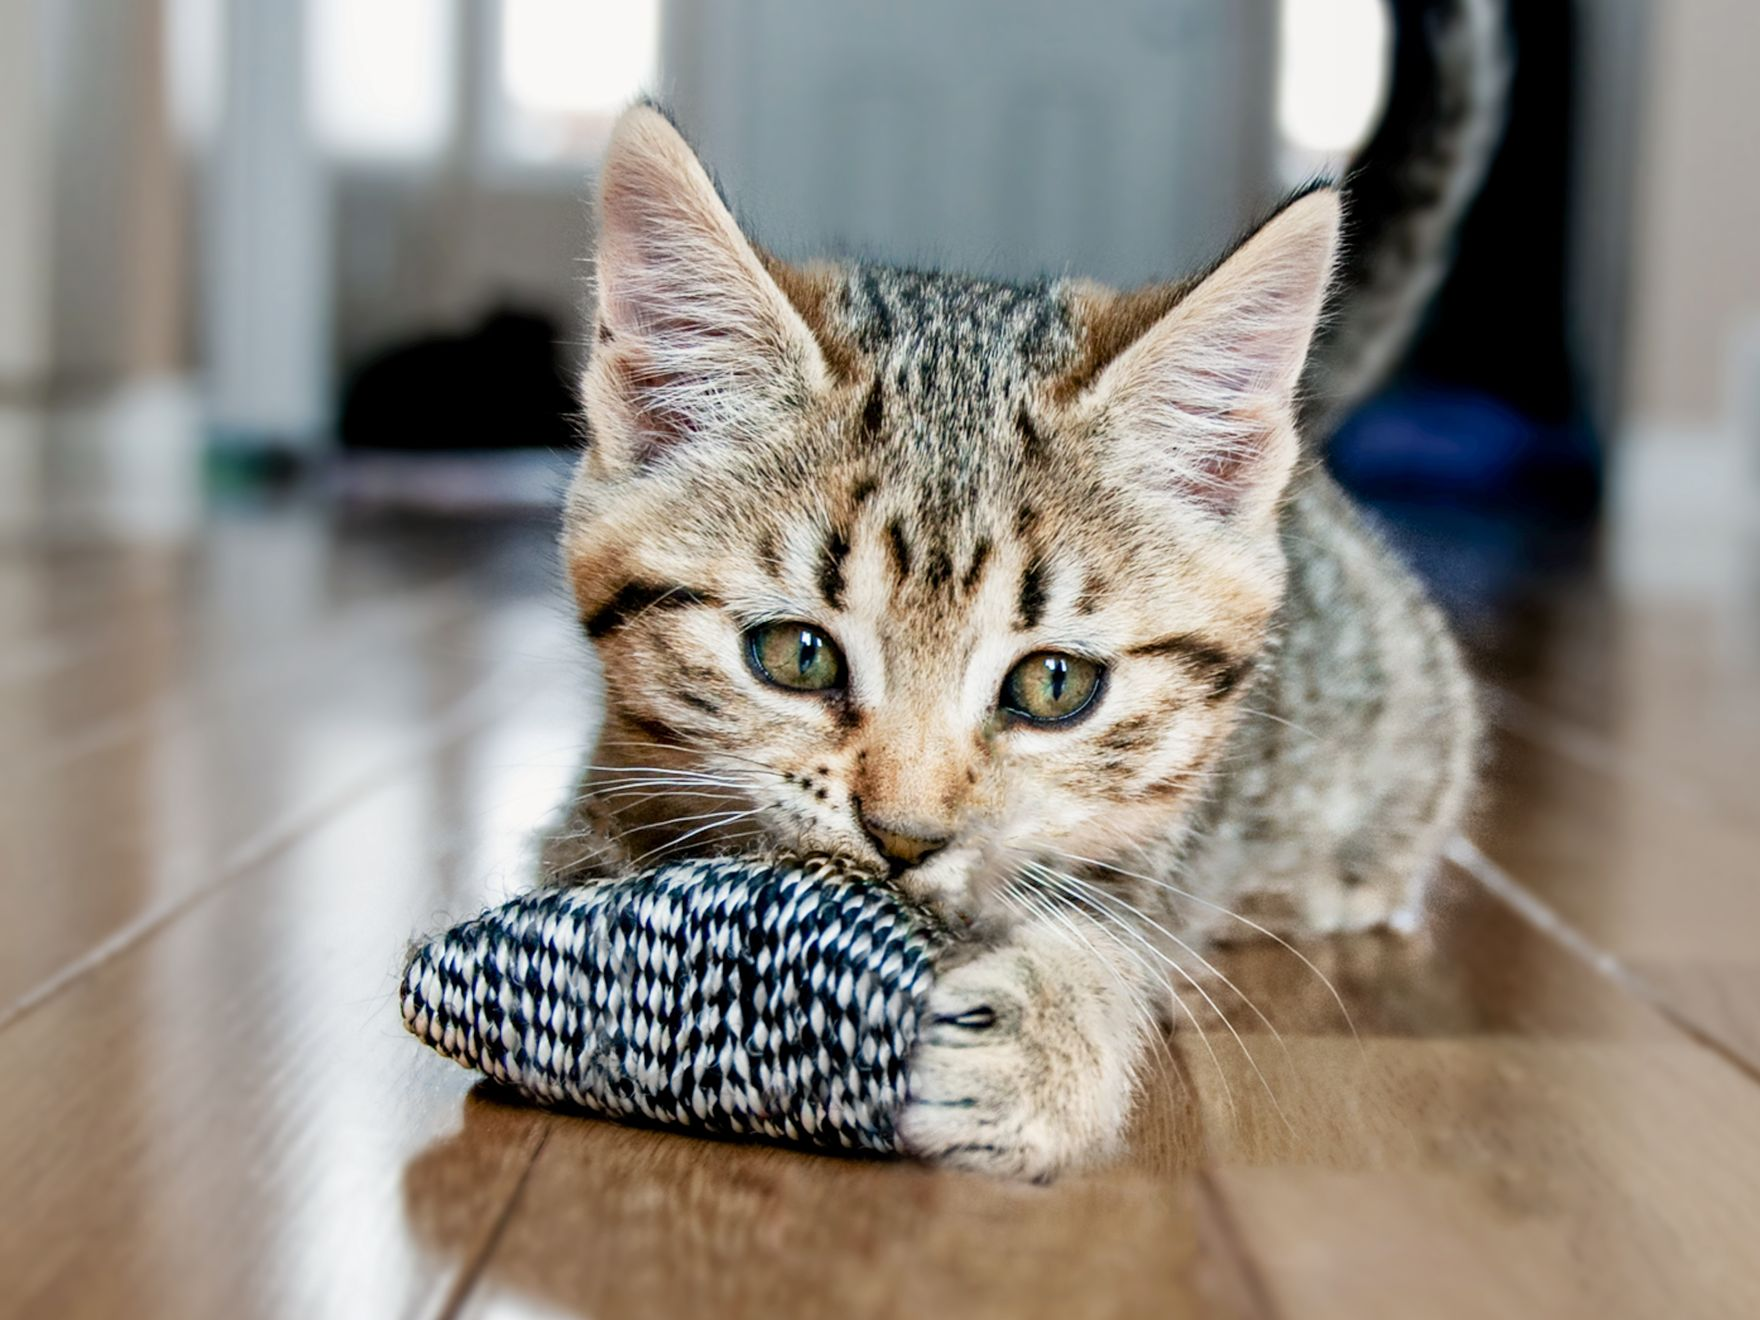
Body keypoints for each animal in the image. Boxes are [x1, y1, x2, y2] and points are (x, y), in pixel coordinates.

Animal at [545, 0, 1499, 1175]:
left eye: (1053, 686)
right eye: (794, 654)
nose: (905, 837)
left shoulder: (1158, 860)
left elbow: (1113, 932)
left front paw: (1045, 1035)